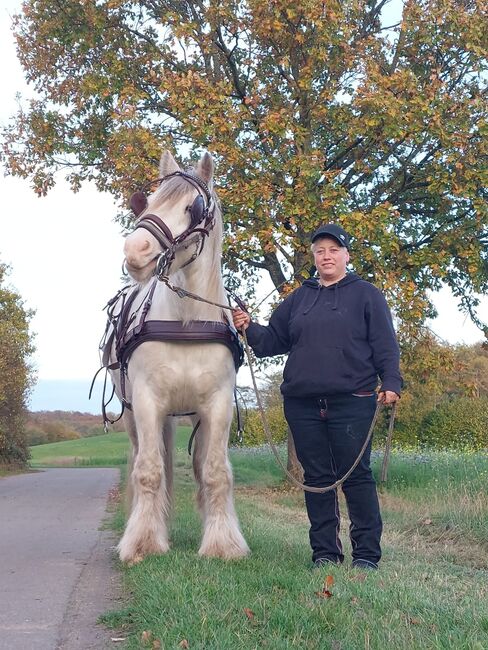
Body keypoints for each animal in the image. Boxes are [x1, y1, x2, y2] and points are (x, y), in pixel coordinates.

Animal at [102, 151, 248, 560]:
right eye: (148, 202)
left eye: (192, 208)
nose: (135, 251)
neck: (186, 321)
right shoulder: (148, 401)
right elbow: (149, 470)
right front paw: (143, 542)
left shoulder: (217, 404)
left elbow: (214, 471)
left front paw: (222, 543)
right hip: (134, 414)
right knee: (145, 458)